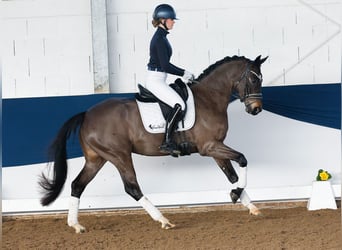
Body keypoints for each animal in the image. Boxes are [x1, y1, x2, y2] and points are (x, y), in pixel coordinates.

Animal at [39, 55, 268, 234]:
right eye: (253, 79)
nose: (256, 109)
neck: (209, 98)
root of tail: (86, 114)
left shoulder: (215, 147)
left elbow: (232, 175)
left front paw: (249, 204)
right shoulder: (209, 146)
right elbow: (242, 159)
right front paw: (236, 195)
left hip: (97, 159)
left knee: (77, 184)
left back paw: (75, 225)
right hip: (119, 155)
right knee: (132, 187)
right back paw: (164, 220)